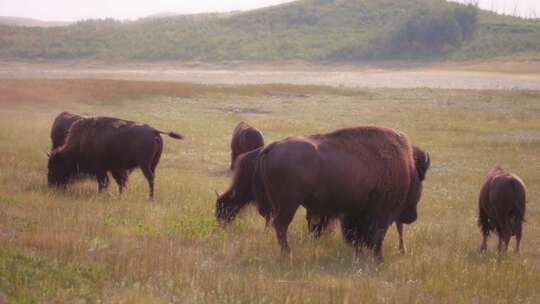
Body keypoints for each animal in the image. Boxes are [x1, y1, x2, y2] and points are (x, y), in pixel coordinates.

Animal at [48, 116, 184, 200]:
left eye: (55, 166)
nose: (51, 185)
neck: (82, 141)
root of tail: (154, 131)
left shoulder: (101, 170)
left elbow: (103, 183)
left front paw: (101, 194)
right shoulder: (115, 169)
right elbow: (120, 182)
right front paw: (119, 195)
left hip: (144, 165)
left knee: (150, 179)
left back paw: (150, 199)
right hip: (153, 164)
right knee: (152, 178)